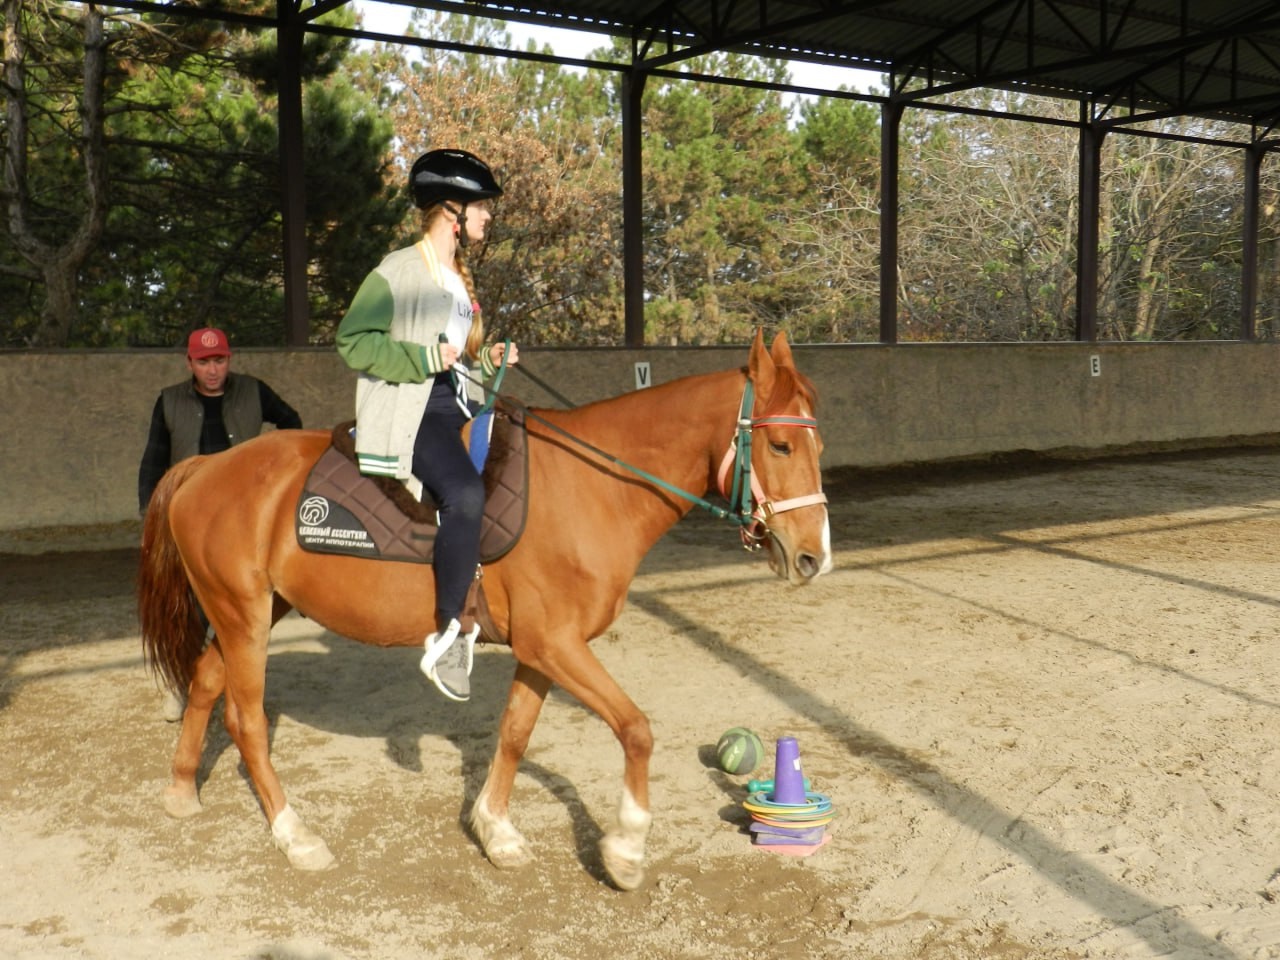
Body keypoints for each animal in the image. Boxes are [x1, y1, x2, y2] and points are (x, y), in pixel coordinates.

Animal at [137, 332, 829, 896]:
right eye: (780, 444)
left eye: (816, 442)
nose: (813, 557)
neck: (593, 487)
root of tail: (204, 467)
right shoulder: (556, 645)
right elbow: (635, 729)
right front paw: (626, 849)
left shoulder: (543, 650)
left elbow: (515, 733)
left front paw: (495, 831)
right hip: (244, 617)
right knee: (248, 720)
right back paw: (294, 835)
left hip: (251, 614)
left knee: (205, 681)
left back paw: (180, 790)